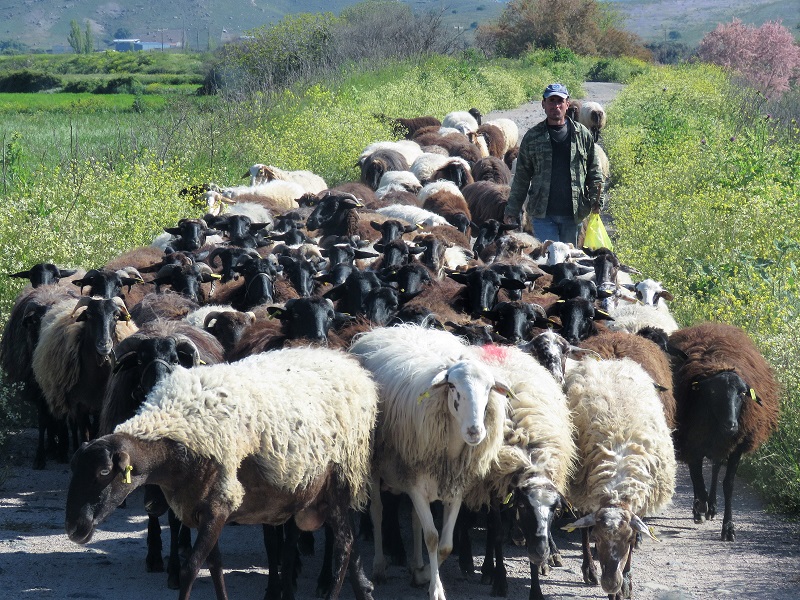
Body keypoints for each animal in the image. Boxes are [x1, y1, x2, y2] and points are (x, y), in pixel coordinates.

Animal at [65, 346, 378, 600]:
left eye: (105, 471)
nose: (74, 529)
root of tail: (353, 369)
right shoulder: (200, 506)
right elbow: (215, 567)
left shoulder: (220, 504)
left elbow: (192, 568)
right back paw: (364, 590)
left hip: (339, 482)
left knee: (345, 544)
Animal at [348, 324, 510, 600]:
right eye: (452, 386)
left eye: (489, 389)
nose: (475, 431)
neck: (450, 453)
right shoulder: (414, 484)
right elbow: (432, 537)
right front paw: (436, 589)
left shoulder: (455, 489)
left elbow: (445, 545)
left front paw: (423, 575)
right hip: (374, 466)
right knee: (377, 511)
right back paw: (379, 567)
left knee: (414, 521)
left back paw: (416, 563)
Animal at [564, 358, 676, 596]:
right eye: (598, 538)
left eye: (630, 538)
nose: (609, 583)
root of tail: (609, 361)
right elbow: (586, 533)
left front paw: (625, 580)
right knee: (583, 530)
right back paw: (589, 569)